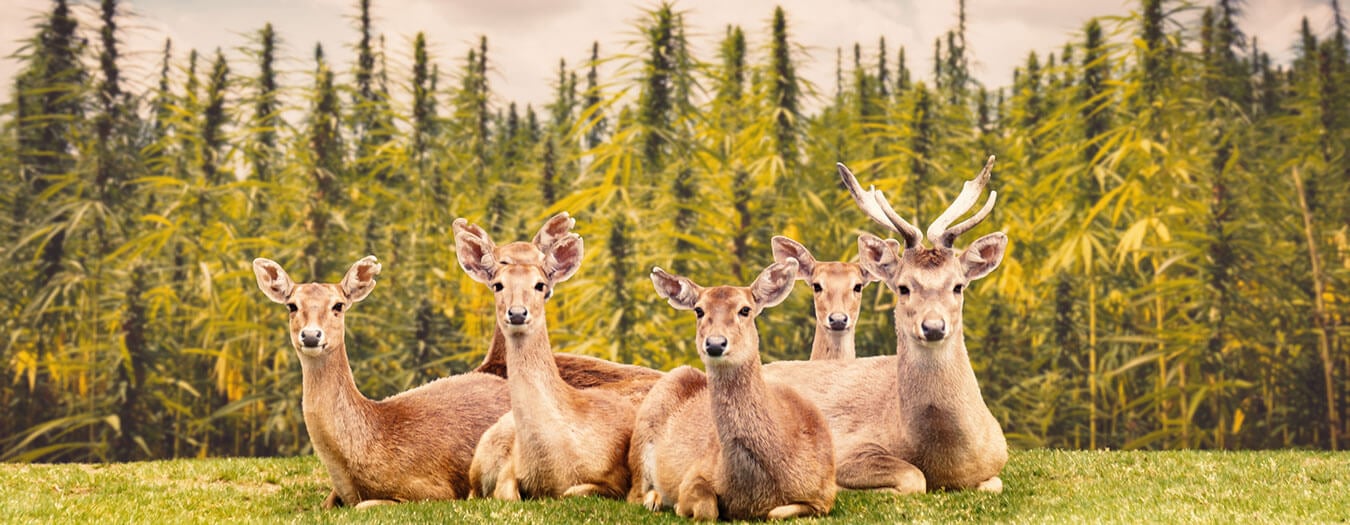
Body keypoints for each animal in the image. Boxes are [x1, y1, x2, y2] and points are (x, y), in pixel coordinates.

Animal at [629, 260, 837, 518]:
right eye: (699, 310)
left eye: (745, 309)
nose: (715, 343)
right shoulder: (697, 470)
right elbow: (707, 507)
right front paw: (679, 505)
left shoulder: (825, 495)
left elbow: (775, 513)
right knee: (634, 494)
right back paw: (656, 500)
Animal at [766, 154, 1009, 491]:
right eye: (903, 287)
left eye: (958, 286)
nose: (934, 327)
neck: (946, 459)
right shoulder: (850, 444)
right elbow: (912, 477)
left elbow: (992, 484)